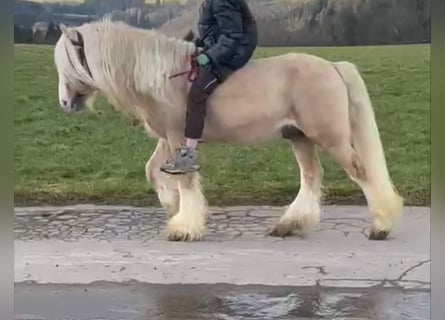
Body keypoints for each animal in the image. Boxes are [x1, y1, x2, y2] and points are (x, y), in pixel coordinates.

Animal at [52, 19, 402, 240]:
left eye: (70, 61)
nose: (65, 103)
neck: (163, 77)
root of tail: (332, 66)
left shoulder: (178, 138)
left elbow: (185, 180)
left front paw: (184, 226)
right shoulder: (168, 140)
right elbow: (153, 171)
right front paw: (173, 207)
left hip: (331, 139)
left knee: (361, 173)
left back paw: (381, 227)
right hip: (299, 137)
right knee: (311, 177)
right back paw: (289, 225)